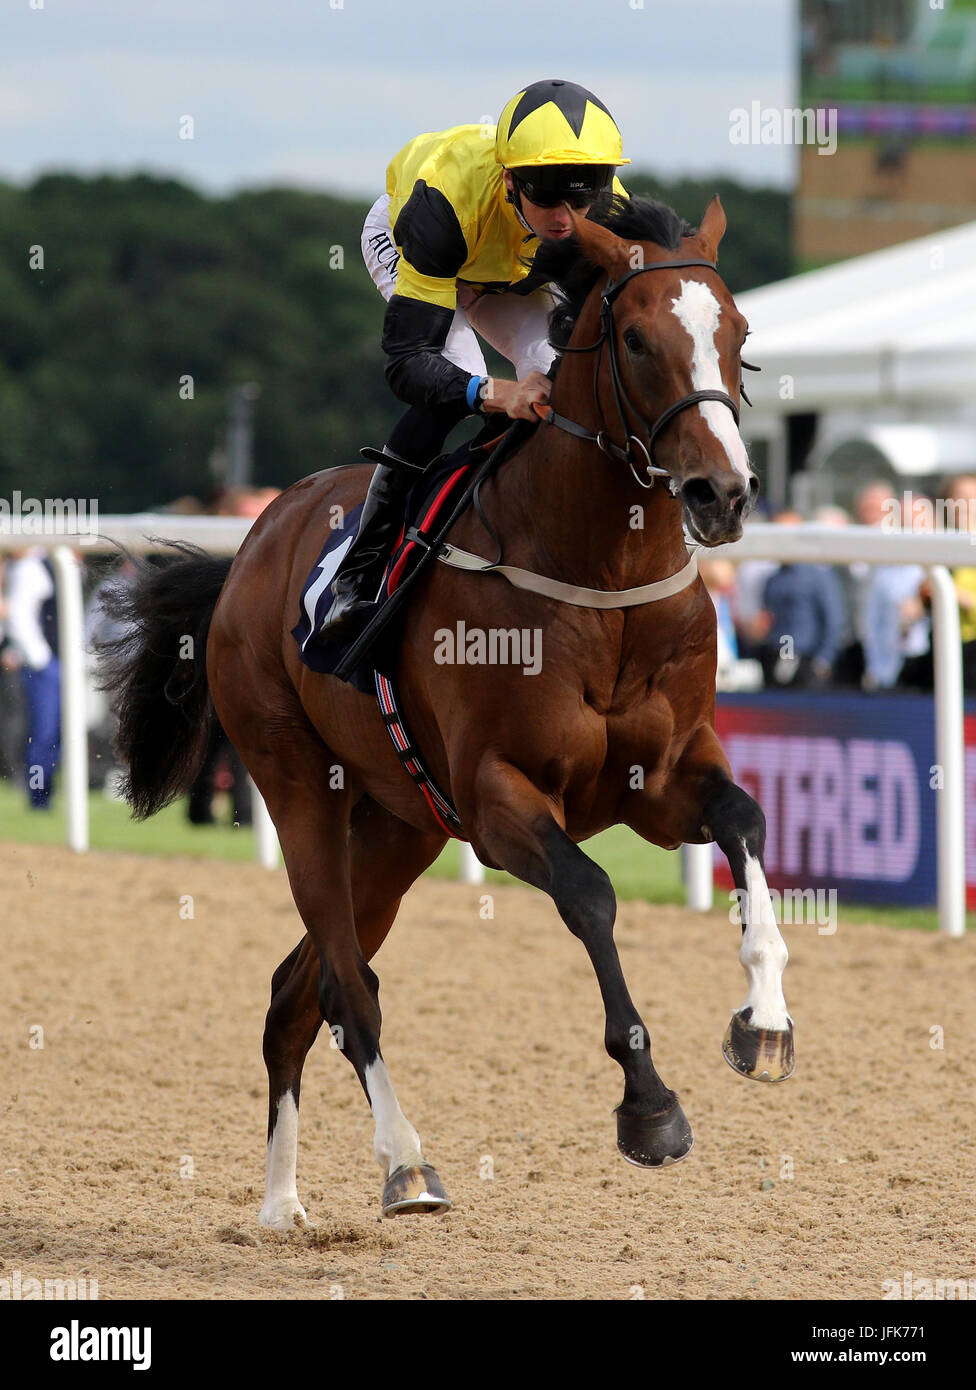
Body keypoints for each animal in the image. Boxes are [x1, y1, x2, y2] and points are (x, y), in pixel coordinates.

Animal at [102, 195, 795, 1228]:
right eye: (635, 340)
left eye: (740, 335)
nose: (724, 493)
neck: (600, 576)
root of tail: (253, 543)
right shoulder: (499, 795)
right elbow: (591, 894)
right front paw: (649, 1106)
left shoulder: (663, 778)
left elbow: (745, 822)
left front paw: (766, 1020)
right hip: (302, 791)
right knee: (348, 987)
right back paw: (404, 1164)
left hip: (400, 829)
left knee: (293, 993)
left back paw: (282, 1203)